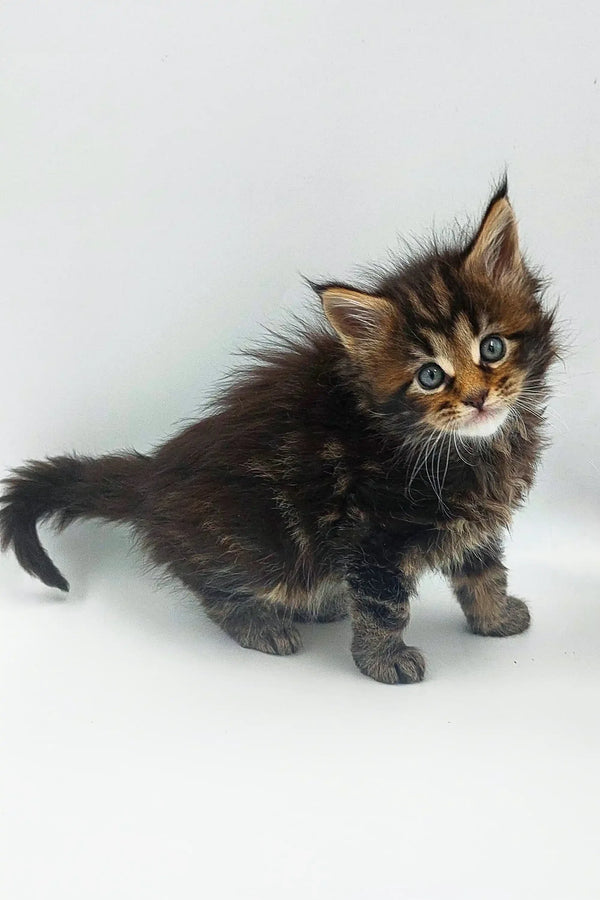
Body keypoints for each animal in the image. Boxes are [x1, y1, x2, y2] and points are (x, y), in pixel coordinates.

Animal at [0, 185, 556, 688]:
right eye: (430, 376)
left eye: (492, 347)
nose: (478, 399)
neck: (463, 447)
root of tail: (155, 475)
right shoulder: (373, 532)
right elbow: (383, 604)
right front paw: (384, 661)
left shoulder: (472, 518)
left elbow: (482, 570)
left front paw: (496, 618)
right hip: (263, 544)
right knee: (215, 586)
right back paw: (262, 624)